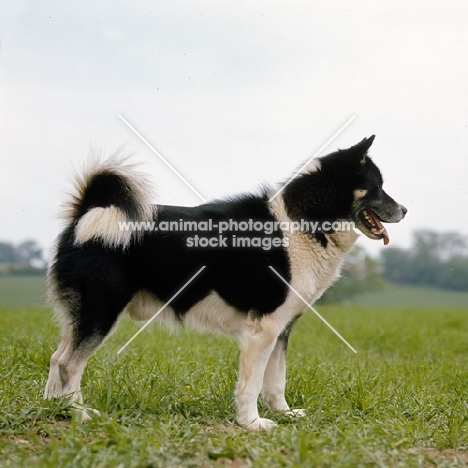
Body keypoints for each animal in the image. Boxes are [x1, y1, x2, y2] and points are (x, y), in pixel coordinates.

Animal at [45, 136, 408, 432]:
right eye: (377, 187)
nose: (404, 209)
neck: (301, 220)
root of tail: (88, 212)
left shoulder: (280, 329)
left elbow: (276, 381)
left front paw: (283, 414)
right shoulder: (262, 329)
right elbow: (252, 384)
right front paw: (252, 424)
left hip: (81, 317)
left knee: (55, 357)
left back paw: (54, 409)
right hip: (101, 313)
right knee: (67, 364)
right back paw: (80, 415)